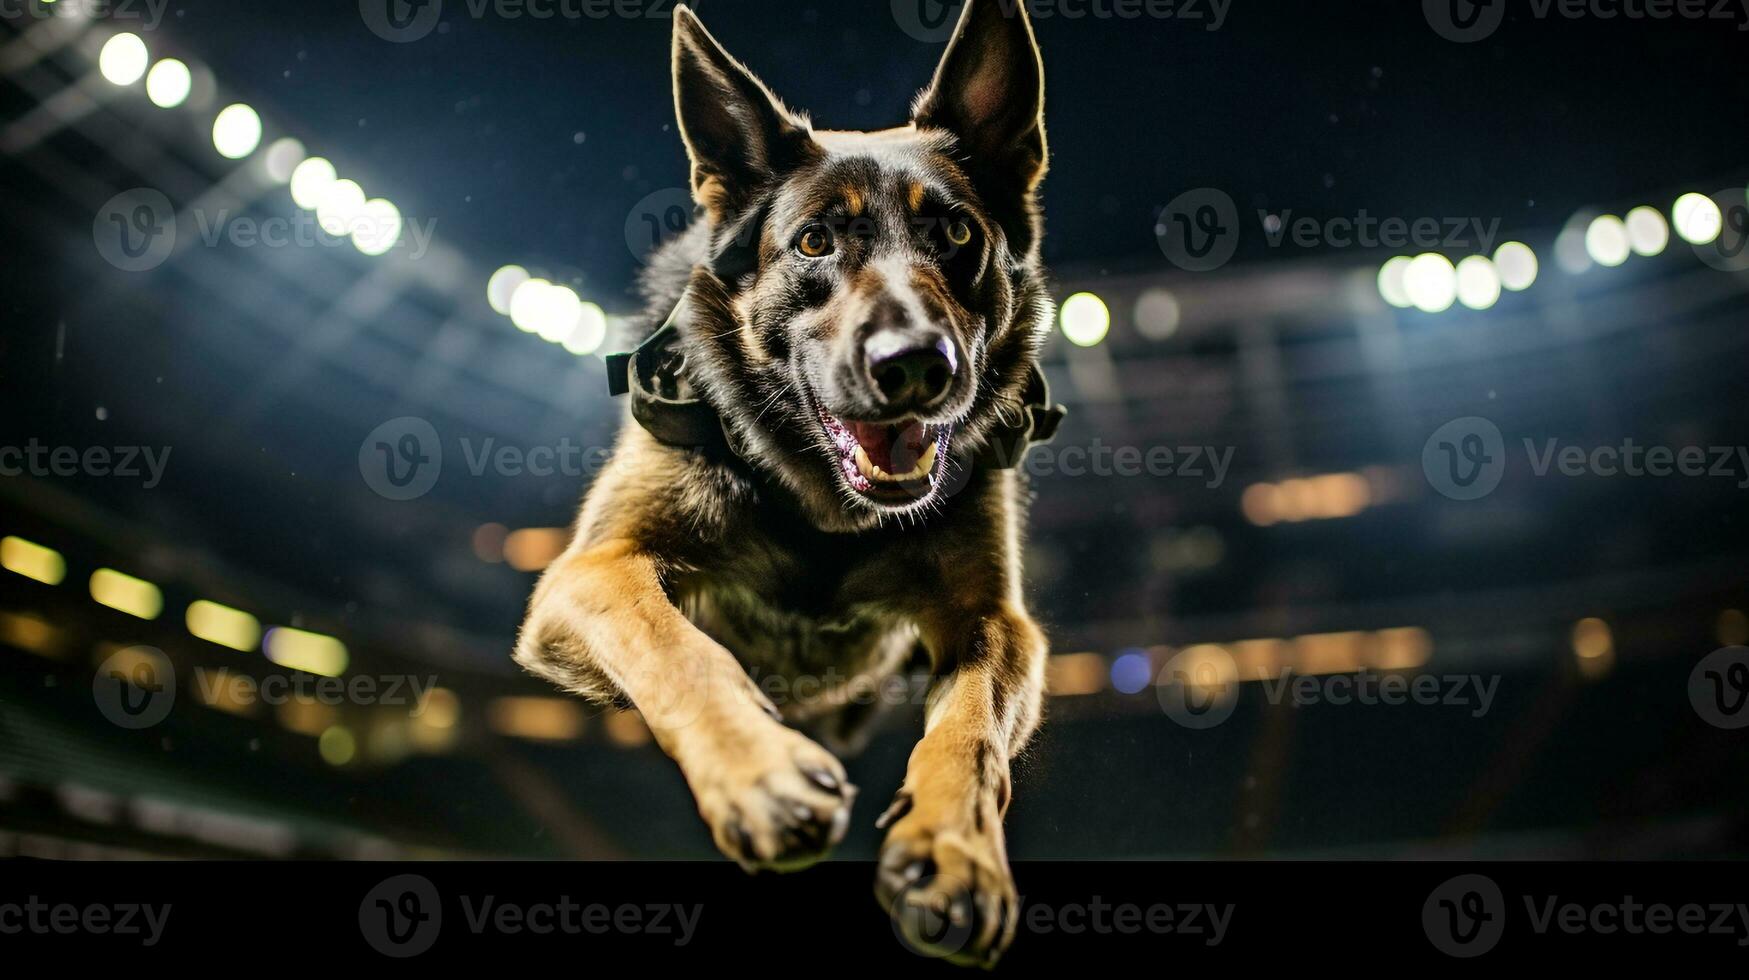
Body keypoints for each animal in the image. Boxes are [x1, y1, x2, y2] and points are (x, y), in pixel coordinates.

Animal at [510, 0, 1042, 966]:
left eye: (955, 234)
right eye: (814, 242)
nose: (916, 368)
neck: (822, 510)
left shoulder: (994, 624)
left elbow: (970, 737)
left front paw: (954, 851)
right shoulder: (594, 570)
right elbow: (678, 649)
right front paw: (760, 774)